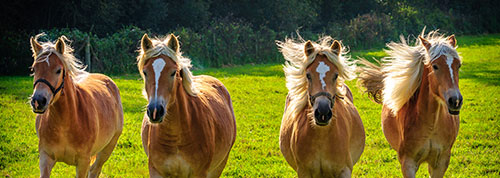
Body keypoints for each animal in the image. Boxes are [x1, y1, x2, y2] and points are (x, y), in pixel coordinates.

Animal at [28, 33, 123, 178]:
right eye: (34, 69)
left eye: (58, 70)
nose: (38, 101)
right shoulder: (45, 158)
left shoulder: (83, 162)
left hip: (107, 149)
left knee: (95, 170)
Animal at [138, 33, 237, 178]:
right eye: (145, 72)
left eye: (173, 72)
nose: (155, 111)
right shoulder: (156, 172)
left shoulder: (200, 173)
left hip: (219, 166)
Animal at [278, 36, 364, 178]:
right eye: (308, 75)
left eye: (336, 75)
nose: (323, 112)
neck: (321, 137)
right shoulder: (304, 172)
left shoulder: (344, 171)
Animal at [358, 29, 462, 177]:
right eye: (435, 66)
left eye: (458, 65)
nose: (455, 100)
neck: (431, 125)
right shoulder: (408, 163)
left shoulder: (441, 163)